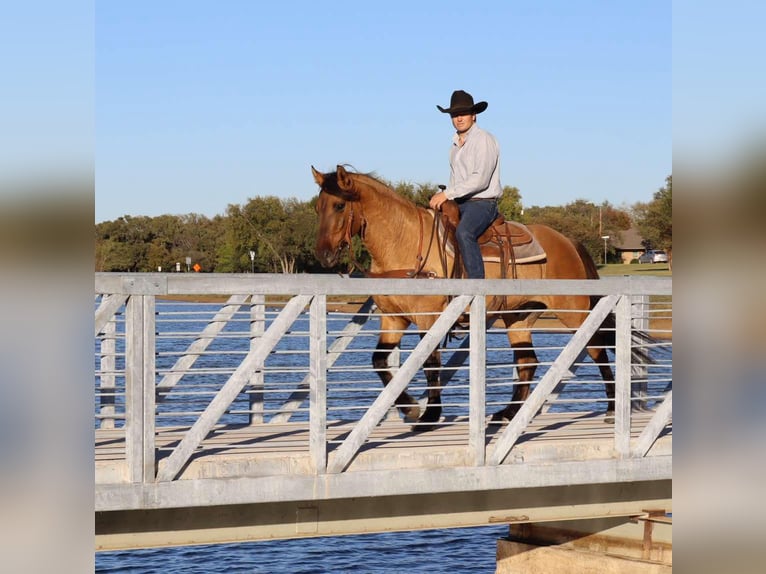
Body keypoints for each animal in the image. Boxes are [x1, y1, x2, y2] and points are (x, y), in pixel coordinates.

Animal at [312, 164, 618, 429]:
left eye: (339, 205)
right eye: (318, 207)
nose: (323, 255)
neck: (405, 243)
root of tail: (569, 242)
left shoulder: (429, 318)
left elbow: (429, 363)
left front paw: (429, 415)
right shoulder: (393, 319)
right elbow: (379, 362)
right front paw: (410, 407)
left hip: (574, 312)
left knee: (596, 349)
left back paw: (613, 409)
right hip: (518, 317)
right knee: (528, 362)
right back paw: (507, 413)